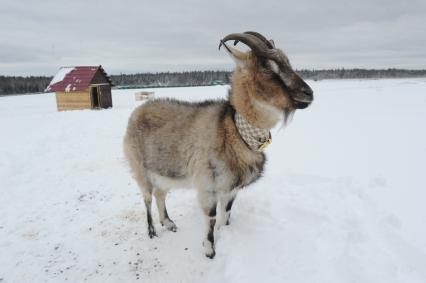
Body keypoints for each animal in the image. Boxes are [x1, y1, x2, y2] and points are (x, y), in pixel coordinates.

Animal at [123, 31, 312, 260]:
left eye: (287, 62)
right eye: (267, 67)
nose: (309, 93)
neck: (234, 131)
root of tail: (137, 111)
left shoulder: (231, 188)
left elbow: (227, 213)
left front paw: (224, 233)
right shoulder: (208, 185)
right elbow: (211, 217)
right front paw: (210, 250)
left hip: (164, 171)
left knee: (160, 194)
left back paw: (168, 223)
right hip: (140, 169)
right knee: (147, 198)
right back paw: (152, 231)